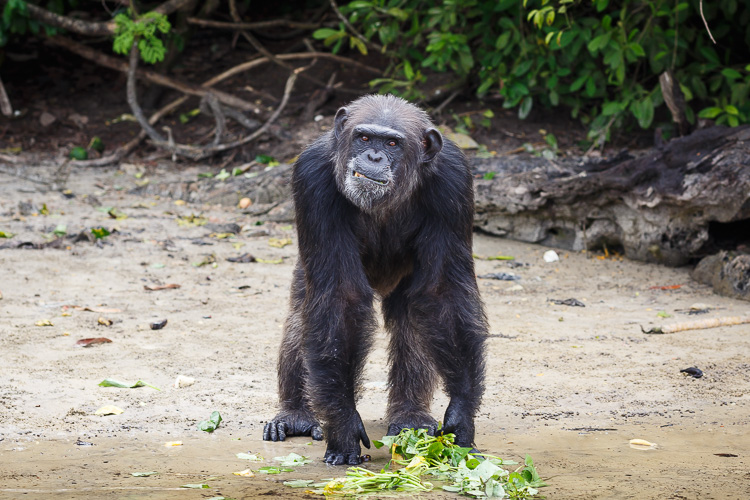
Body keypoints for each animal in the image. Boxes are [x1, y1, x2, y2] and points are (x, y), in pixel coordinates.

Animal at [262, 94, 488, 464]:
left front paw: (461, 414)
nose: (374, 156)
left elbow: (442, 293)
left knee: (413, 320)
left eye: (393, 143)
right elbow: (340, 298)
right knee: (300, 319)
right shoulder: (311, 179)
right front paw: (343, 426)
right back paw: (296, 415)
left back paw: (410, 416)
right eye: (364, 137)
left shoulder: (454, 182)